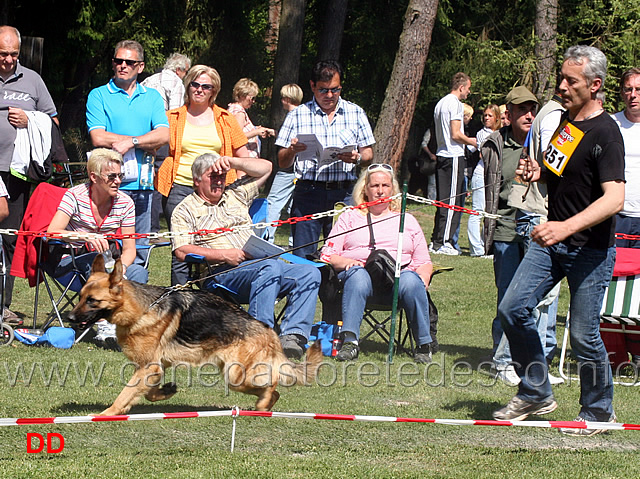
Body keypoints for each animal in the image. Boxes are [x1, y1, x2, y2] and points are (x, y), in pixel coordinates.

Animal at [69, 255, 324, 416]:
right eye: (80, 297)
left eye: (93, 301)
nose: (70, 318)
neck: (142, 309)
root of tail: (270, 332)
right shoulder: (154, 367)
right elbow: (147, 393)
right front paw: (165, 392)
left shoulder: (148, 367)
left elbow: (125, 394)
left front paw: (107, 413)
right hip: (234, 376)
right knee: (274, 389)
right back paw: (264, 406)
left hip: (236, 376)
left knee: (272, 384)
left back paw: (263, 404)